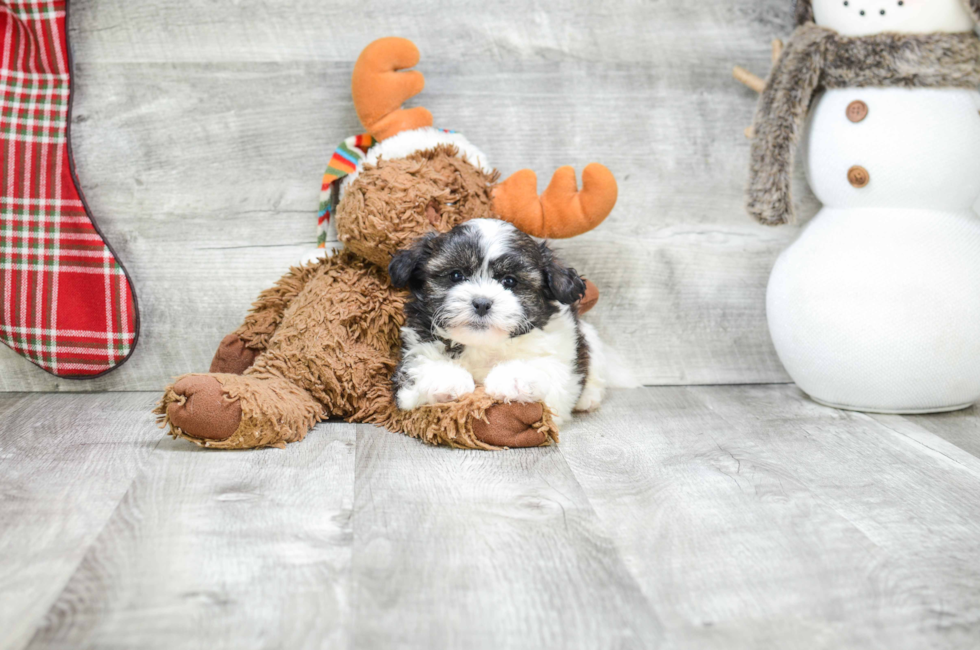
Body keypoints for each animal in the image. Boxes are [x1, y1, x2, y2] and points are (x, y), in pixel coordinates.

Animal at [386, 216, 624, 420]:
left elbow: (546, 369)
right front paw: (447, 379)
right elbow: (420, 366)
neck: (484, 345)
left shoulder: (560, 359)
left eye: (510, 281)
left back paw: (589, 398)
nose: (482, 303)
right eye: (456, 275)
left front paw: (513, 378)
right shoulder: (416, 347)